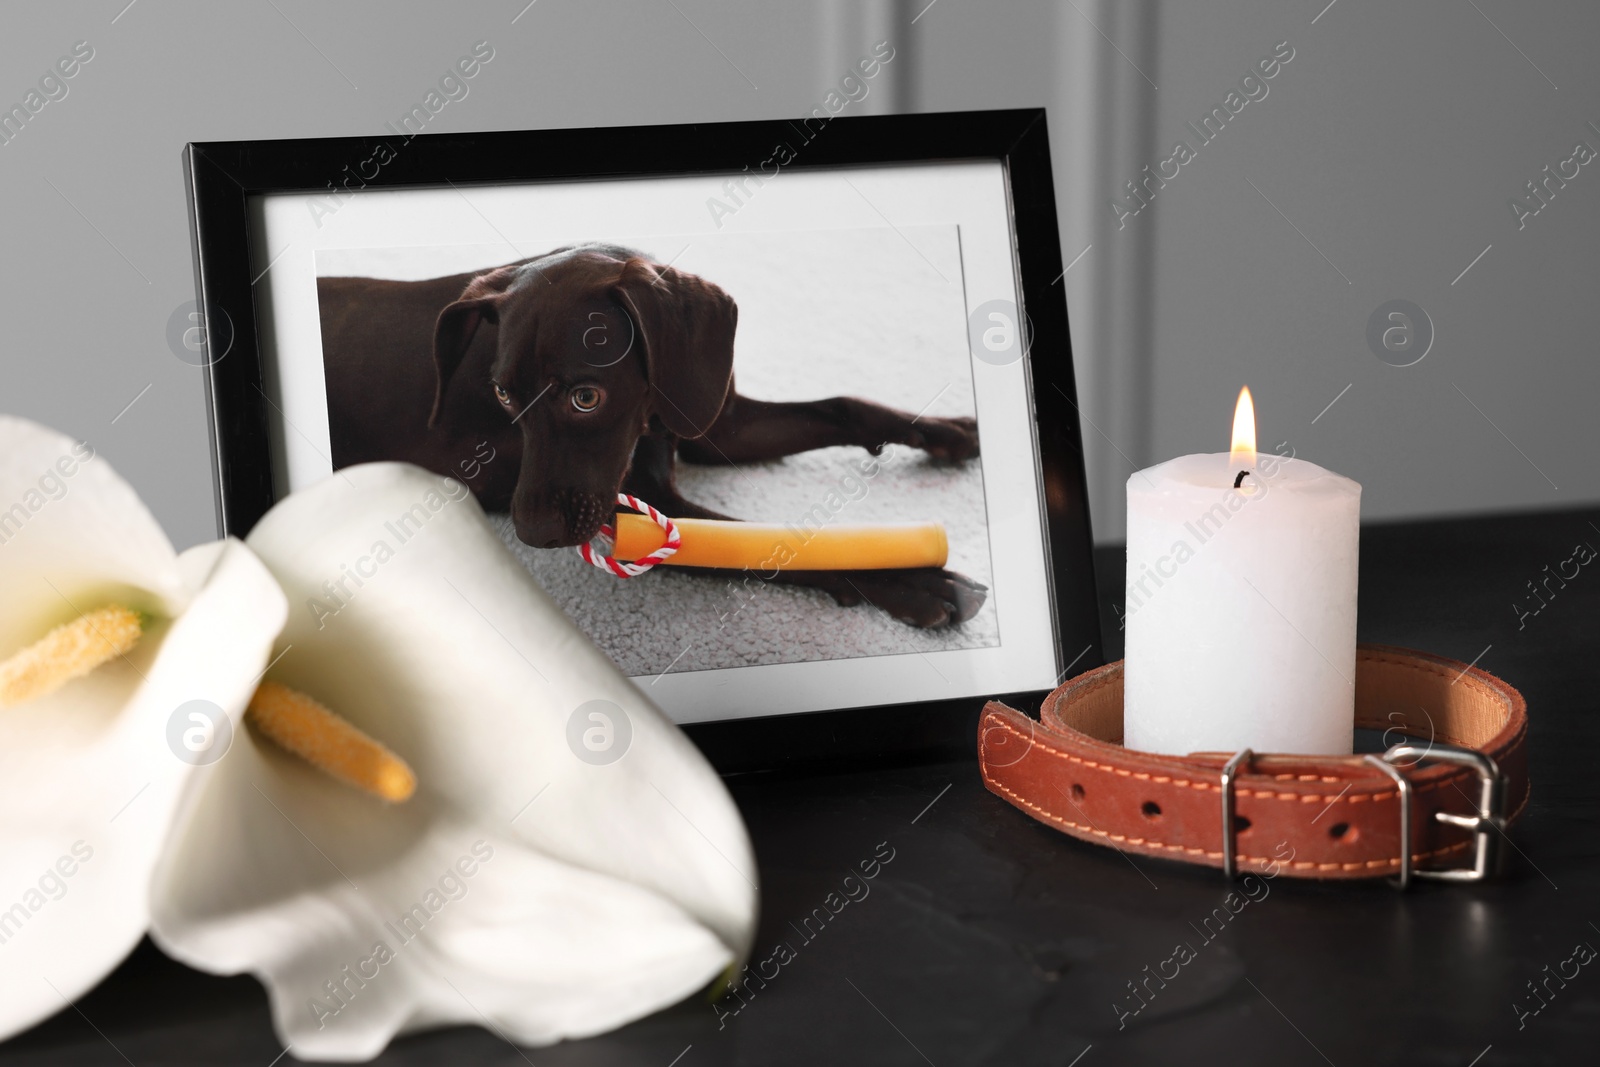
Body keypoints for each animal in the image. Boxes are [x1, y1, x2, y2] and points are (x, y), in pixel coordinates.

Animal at [315, 244, 985, 627]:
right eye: (504, 396)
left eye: (587, 397)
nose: (530, 534)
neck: (650, 412)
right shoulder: (646, 506)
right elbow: (779, 544)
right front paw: (918, 582)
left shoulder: (714, 421)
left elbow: (844, 406)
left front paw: (945, 430)